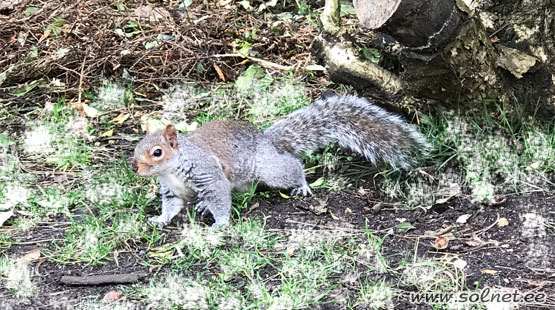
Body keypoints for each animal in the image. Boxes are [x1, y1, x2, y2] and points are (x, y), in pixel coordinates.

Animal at [131, 94, 430, 228]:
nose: (135, 167)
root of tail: (267, 141)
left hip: (268, 169)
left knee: (291, 167)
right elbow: (172, 207)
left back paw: (301, 185)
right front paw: (160, 220)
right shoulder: (170, 190)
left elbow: (218, 194)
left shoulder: (208, 173)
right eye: (136, 148)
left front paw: (221, 224)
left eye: (157, 152)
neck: (171, 170)